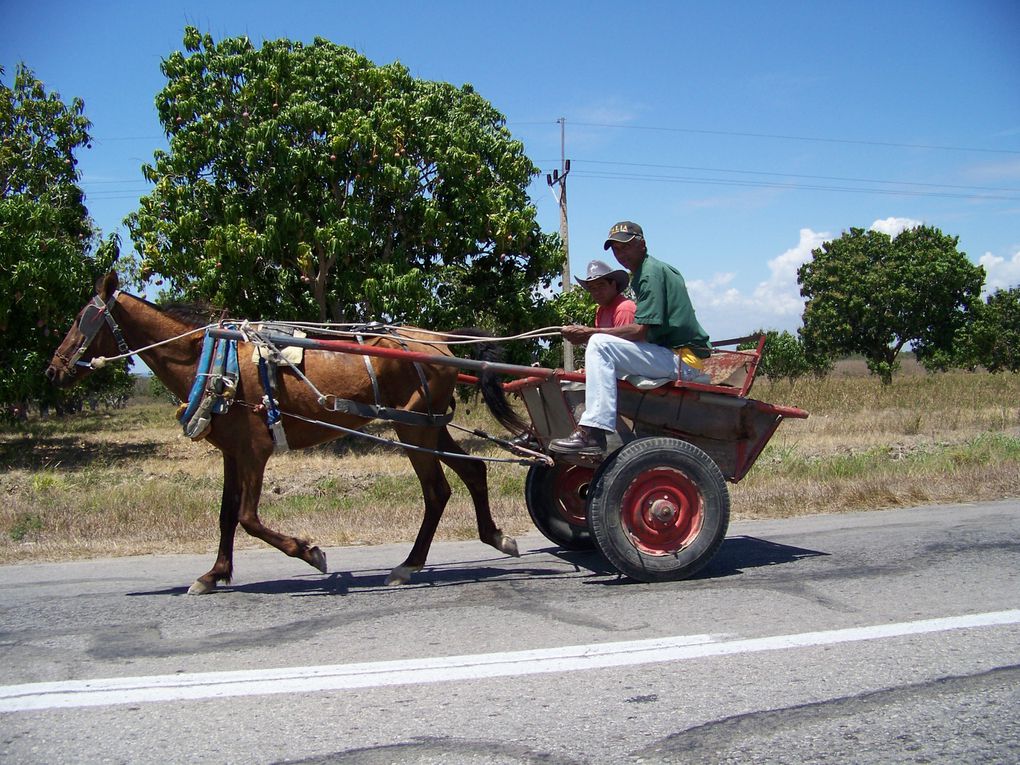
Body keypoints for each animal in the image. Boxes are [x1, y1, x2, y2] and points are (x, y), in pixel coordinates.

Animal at [45, 273, 526, 595]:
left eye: (83, 318)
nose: (54, 369)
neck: (215, 361)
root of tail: (439, 341)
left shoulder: (256, 451)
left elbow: (248, 516)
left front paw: (310, 552)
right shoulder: (233, 452)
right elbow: (226, 515)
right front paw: (214, 574)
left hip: (411, 429)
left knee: (437, 491)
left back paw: (409, 565)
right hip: (427, 425)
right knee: (473, 471)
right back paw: (494, 537)